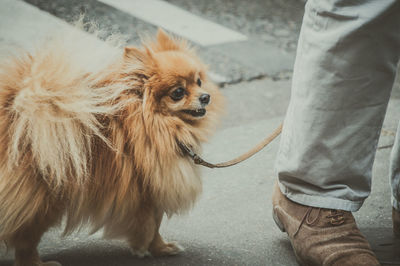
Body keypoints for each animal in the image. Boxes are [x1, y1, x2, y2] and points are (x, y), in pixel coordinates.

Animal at [0, 27, 225, 266]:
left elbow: (154, 225)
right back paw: (36, 262)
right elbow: (151, 225)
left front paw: (159, 248)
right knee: (25, 238)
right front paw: (153, 248)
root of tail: (15, 111)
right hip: (44, 202)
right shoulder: (147, 192)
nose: (206, 96)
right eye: (178, 92)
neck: (155, 124)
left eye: (198, 82)